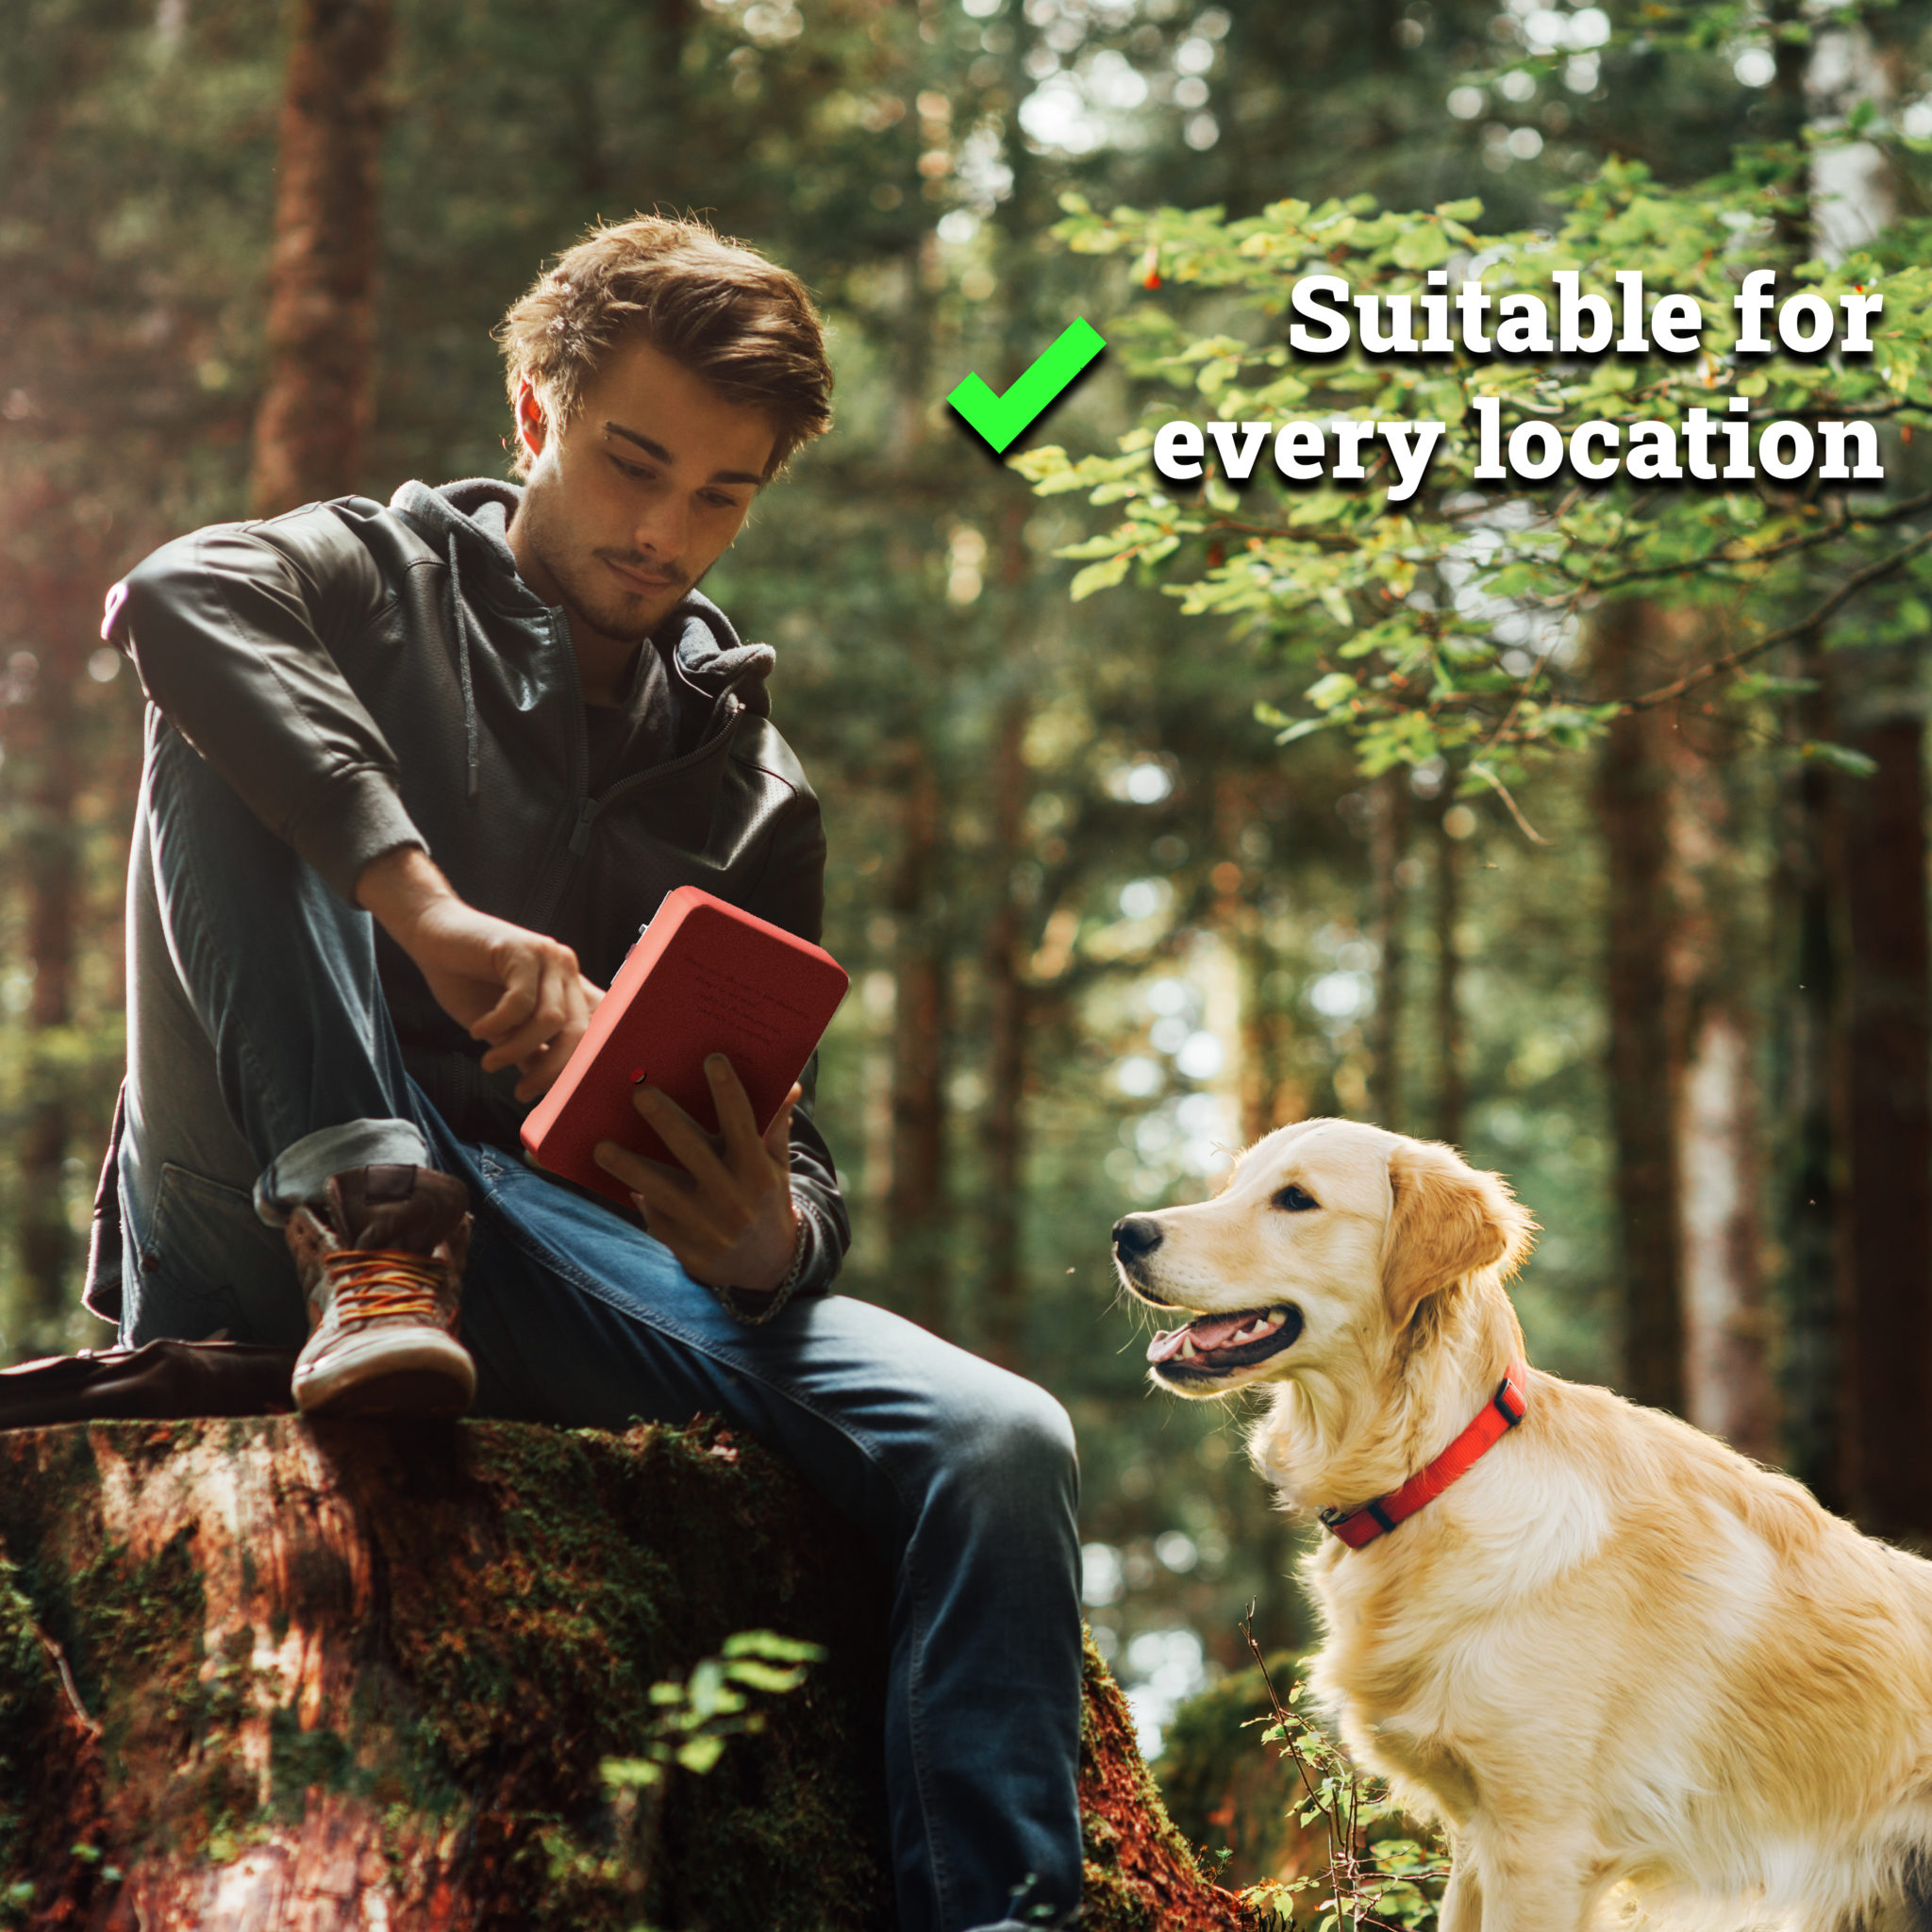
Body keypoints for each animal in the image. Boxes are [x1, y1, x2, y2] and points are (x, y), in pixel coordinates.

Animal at [1112, 1120, 1932, 1932]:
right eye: (1234, 1185)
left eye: (1295, 1199)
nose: (1127, 1232)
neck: (1439, 1471)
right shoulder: (1478, 1839)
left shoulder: (1539, 1843)